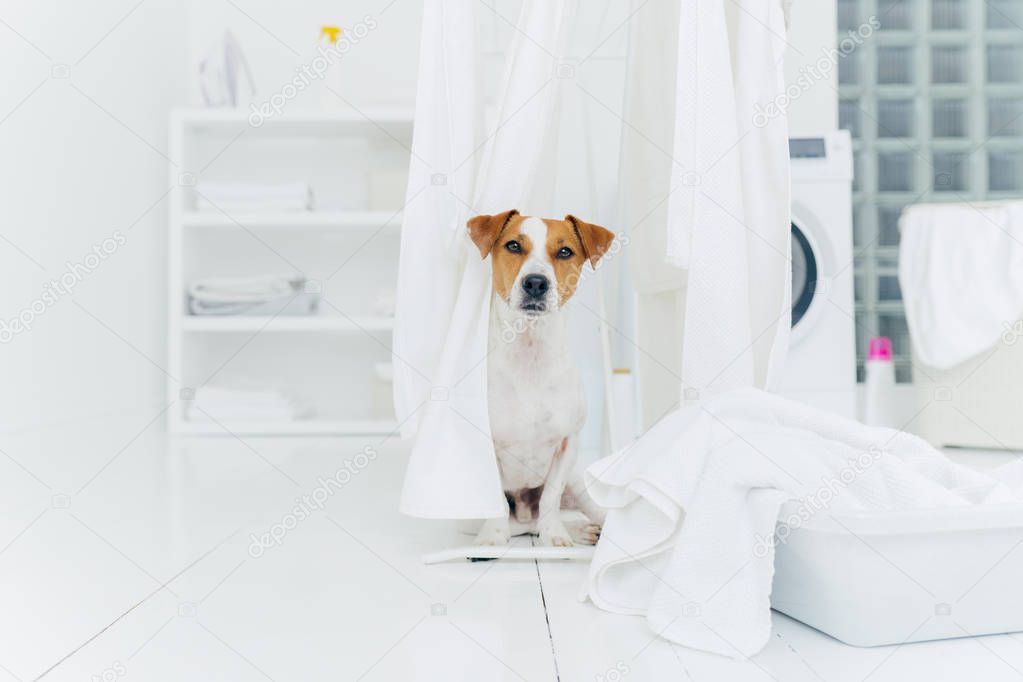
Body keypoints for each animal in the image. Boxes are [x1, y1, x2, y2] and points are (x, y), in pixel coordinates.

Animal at [468, 210, 609, 548]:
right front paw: (492, 537)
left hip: (578, 481)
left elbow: (551, 498)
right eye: (513, 245)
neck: (530, 350)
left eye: (565, 251)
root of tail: (522, 516)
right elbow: (496, 499)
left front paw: (554, 535)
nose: (535, 282)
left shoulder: (567, 443)